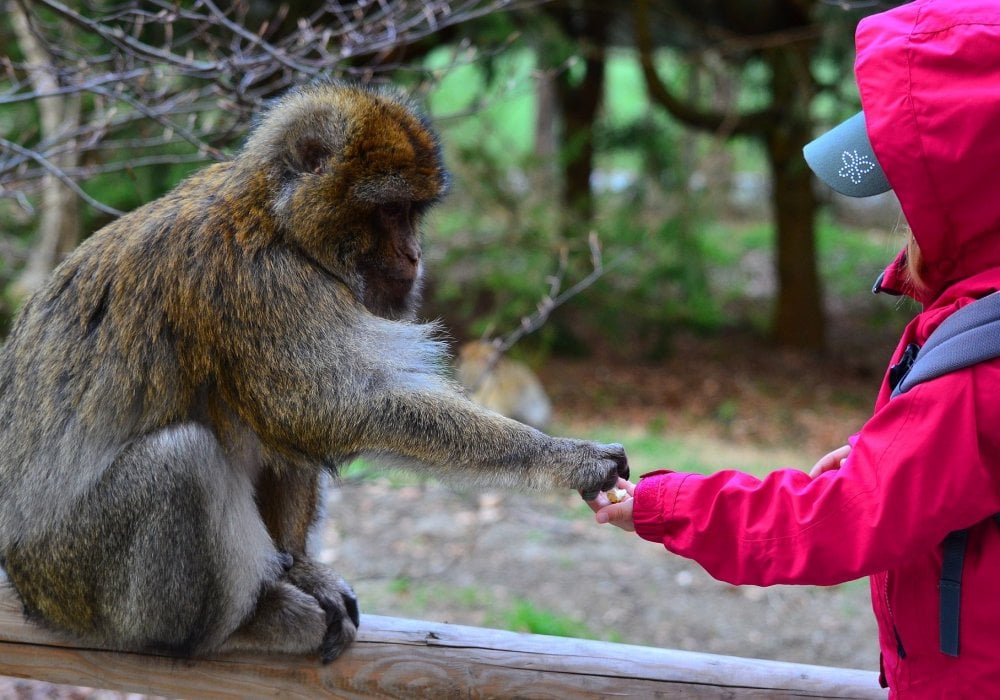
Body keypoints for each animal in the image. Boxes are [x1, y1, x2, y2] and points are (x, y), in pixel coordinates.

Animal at [0, 82, 628, 660]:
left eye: (415, 212)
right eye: (391, 210)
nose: (414, 255)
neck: (275, 221)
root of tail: (27, 585)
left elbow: (303, 424)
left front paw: (301, 568)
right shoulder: (258, 284)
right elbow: (331, 408)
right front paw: (564, 458)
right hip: (75, 580)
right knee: (183, 461)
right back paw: (230, 628)